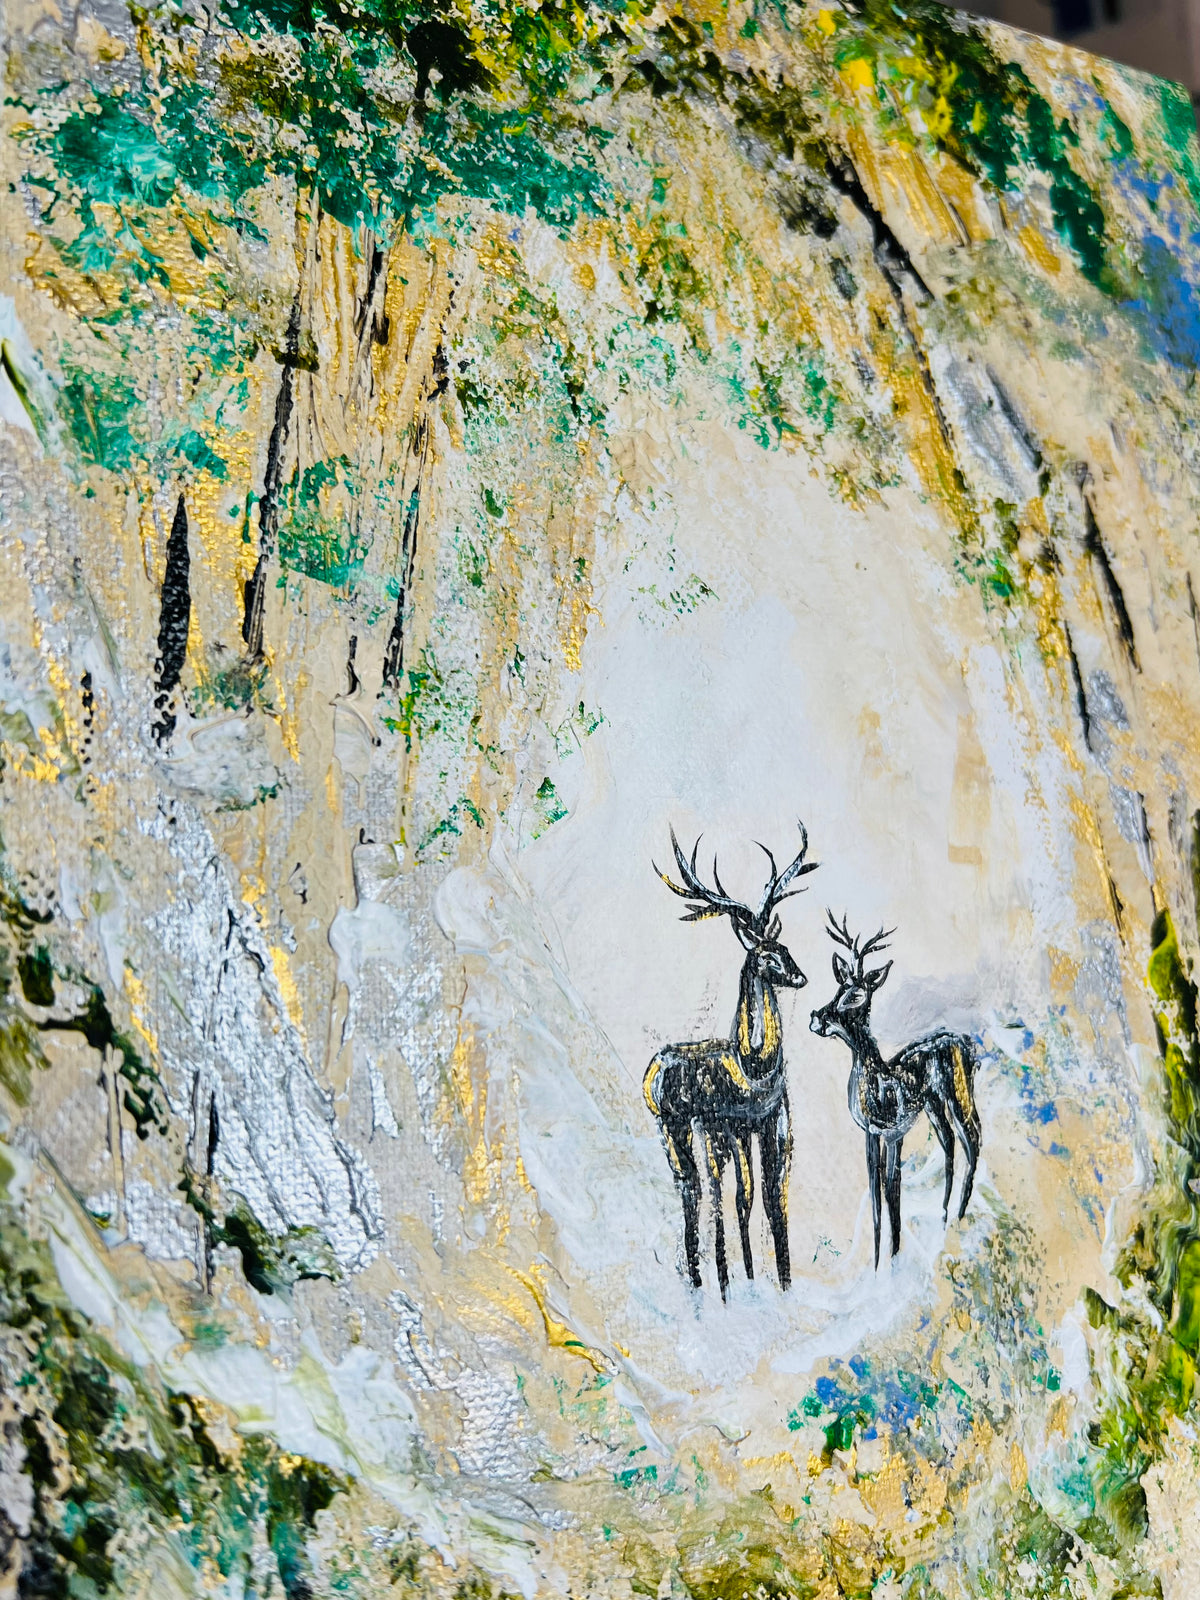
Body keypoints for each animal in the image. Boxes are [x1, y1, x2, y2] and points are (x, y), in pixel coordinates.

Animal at [643, 822, 818, 1299]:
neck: (753, 1068)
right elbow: (740, 1198)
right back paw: (704, 1282)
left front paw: (781, 1282)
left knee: (698, 1189)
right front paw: (743, 1281)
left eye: (785, 945)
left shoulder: (775, 1122)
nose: (800, 976)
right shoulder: (727, 1125)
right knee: (697, 1190)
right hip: (679, 1126)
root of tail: (651, 1076)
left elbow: (772, 1198)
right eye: (765, 954)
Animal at [809, 915, 981, 1268]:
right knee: (950, 1145)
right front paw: (878, 1264)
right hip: (934, 1105)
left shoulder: (893, 1132)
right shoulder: (872, 1133)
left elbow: (891, 1191)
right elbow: (876, 1195)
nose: (817, 1018)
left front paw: (892, 1260)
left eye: (856, 994)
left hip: (960, 1095)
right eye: (839, 987)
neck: (877, 1082)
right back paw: (943, 1217)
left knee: (973, 1140)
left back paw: (958, 1218)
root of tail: (969, 1045)